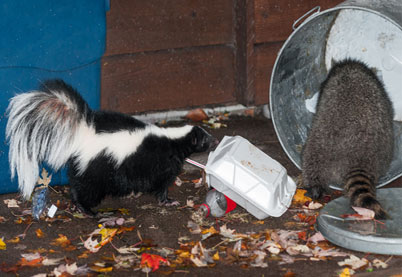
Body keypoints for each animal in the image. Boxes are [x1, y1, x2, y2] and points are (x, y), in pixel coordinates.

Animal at [5, 78, 217, 215]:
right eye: (205, 140)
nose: (215, 141)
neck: (172, 140)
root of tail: (84, 131)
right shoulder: (162, 164)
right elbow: (161, 184)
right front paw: (167, 201)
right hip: (95, 168)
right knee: (83, 189)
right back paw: (86, 209)